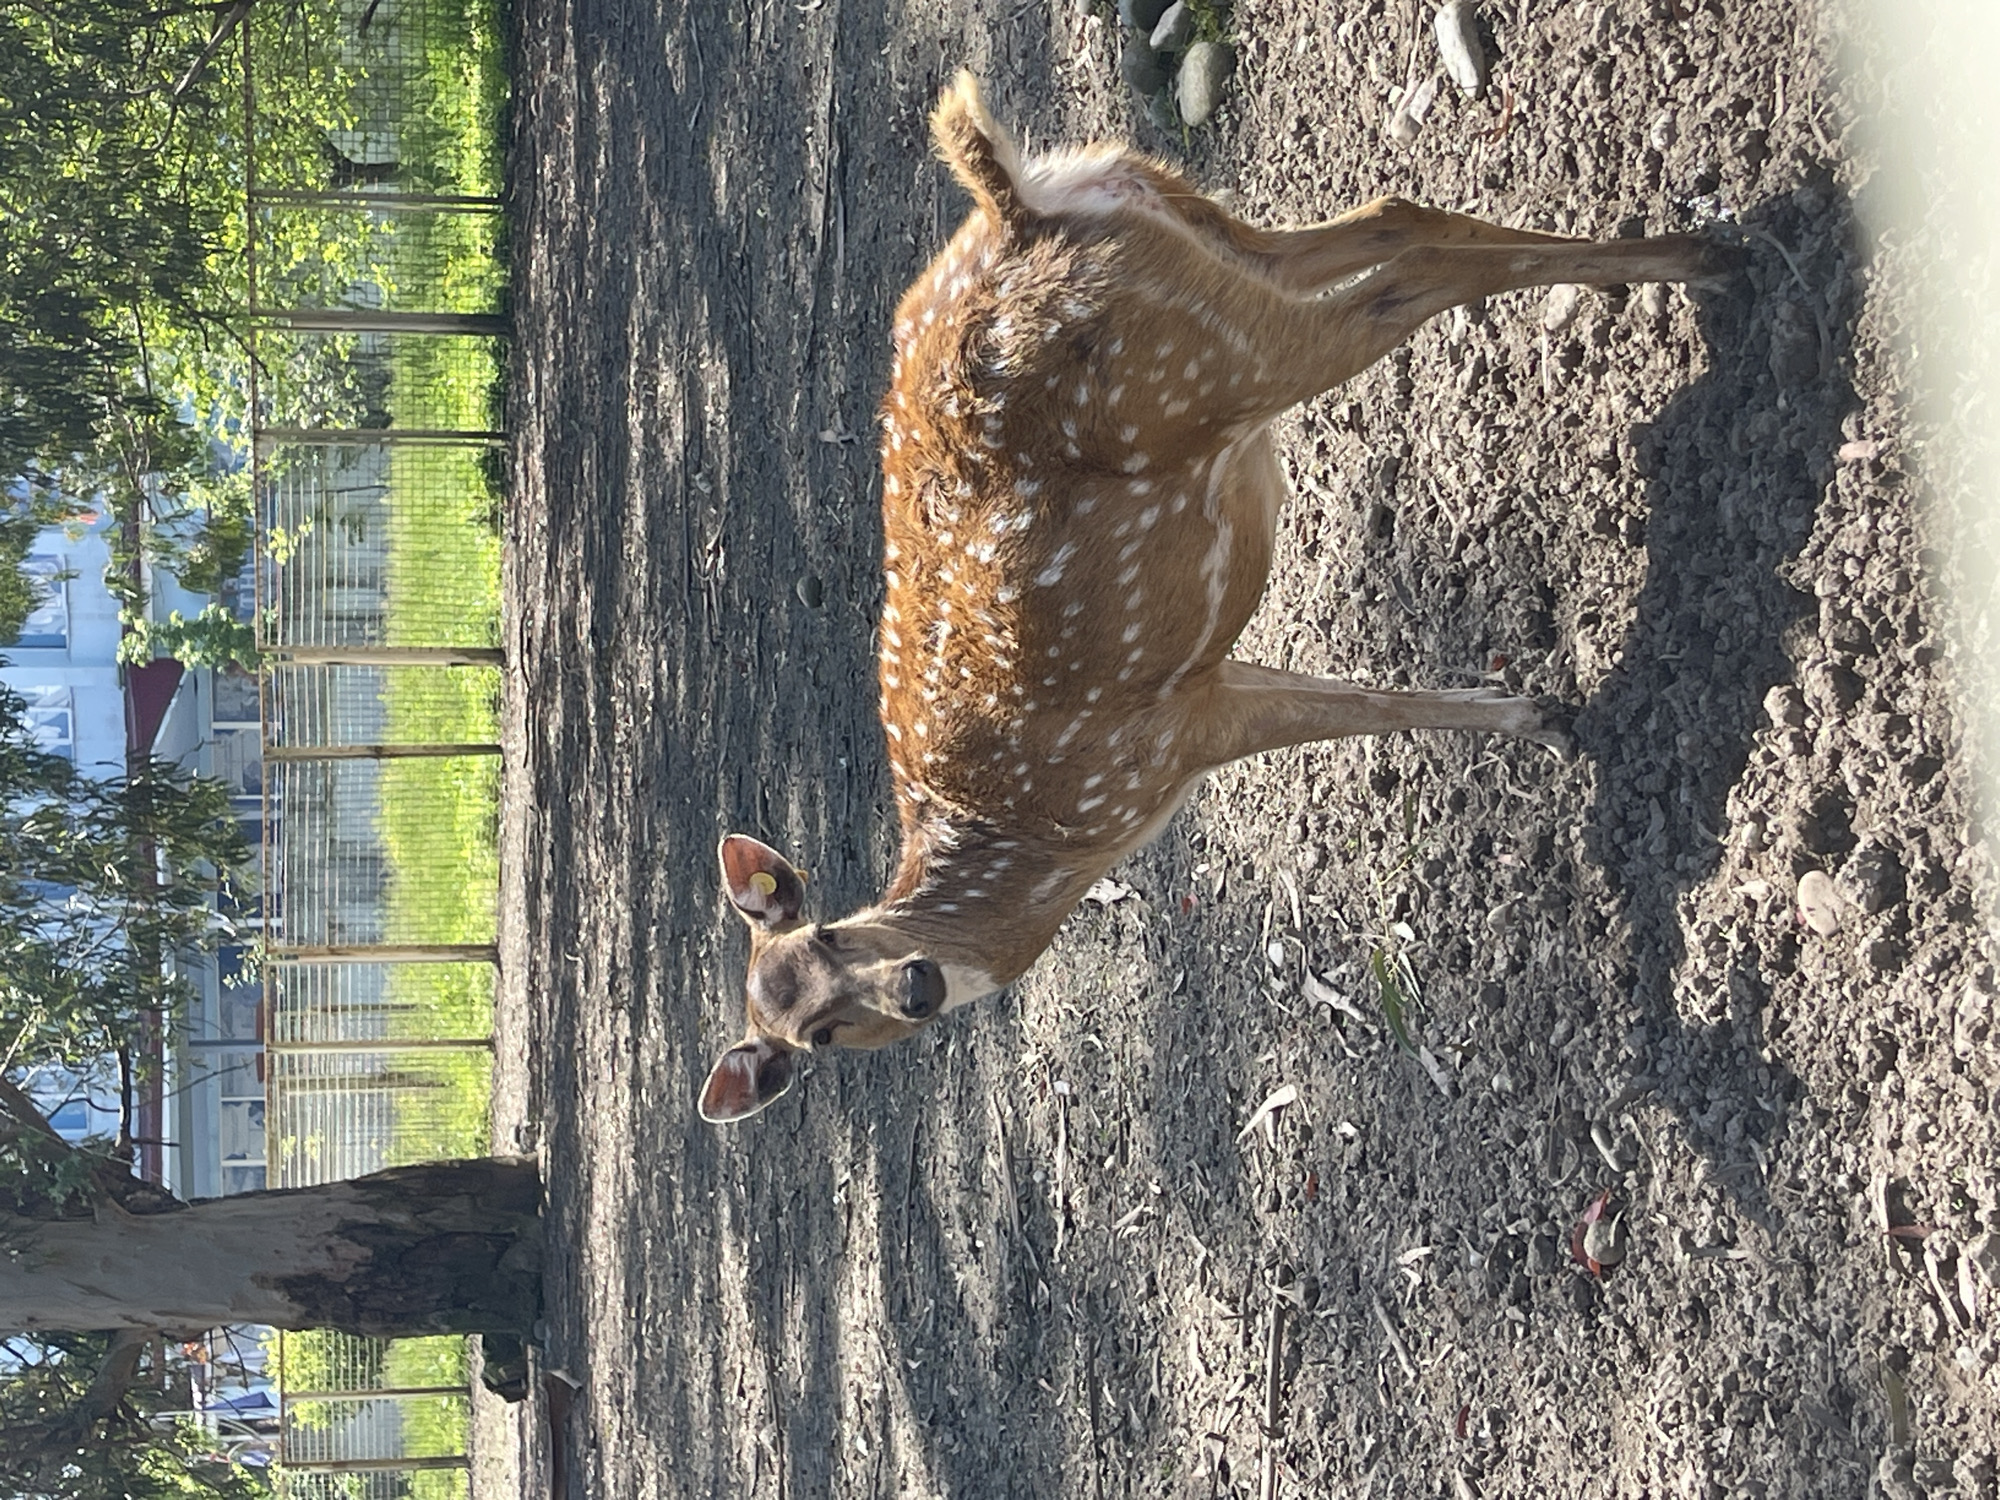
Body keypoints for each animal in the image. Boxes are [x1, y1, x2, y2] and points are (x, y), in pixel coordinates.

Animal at [699, 72, 1738, 1122]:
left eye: (833, 938)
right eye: (817, 1036)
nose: (915, 985)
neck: (1064, 848)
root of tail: (1021, 212)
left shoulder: (1161, 743)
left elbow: (1355, 715)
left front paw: (1549, 719)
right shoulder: (1194, 687)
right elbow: (1358, 698)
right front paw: (1535, 707)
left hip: (1209, 357)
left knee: (1407, 277)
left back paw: (1707, 259)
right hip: (1199, 237)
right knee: (1391, 216)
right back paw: (1690, 252)